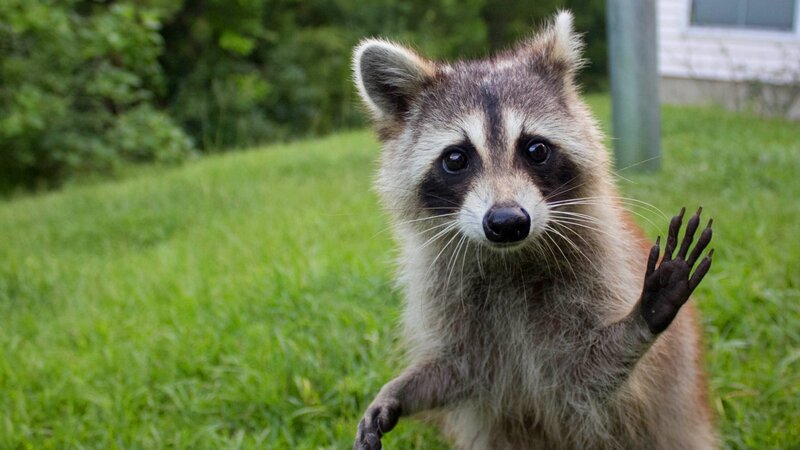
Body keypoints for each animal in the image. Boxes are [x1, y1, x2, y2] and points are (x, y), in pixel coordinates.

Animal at [351, 11, 717, 450]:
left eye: (536, 149)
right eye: (455, 159)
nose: (507, 222)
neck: (509, 260)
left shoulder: (600, 274)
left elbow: (591, 375)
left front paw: (639, 321)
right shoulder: (447, 295)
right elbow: (458, 369)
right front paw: (400, 390)